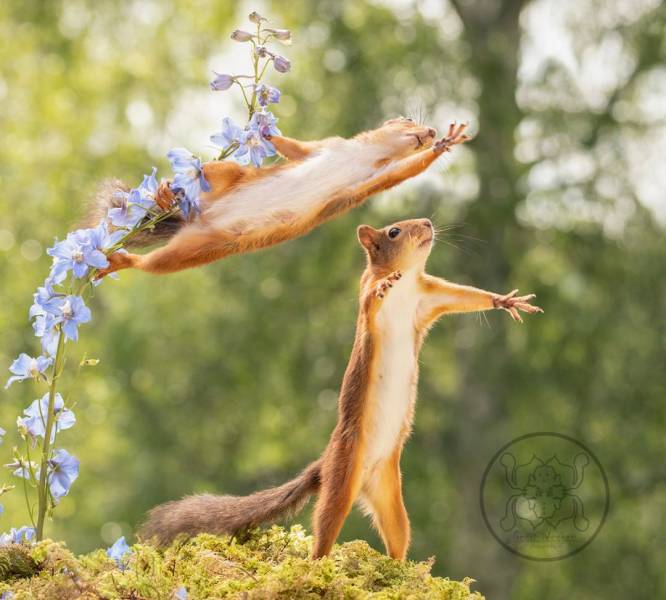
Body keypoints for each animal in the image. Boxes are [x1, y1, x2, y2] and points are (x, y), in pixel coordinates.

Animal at [92, 118, 466, 276]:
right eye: (407, 119)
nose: (430, 131)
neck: (363, 155)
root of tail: (195, 217)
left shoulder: (373, 179)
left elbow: (403, 173)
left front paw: (445, 143)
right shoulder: (326, 147)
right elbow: (295, 149)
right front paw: (265, 130)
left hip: (191, 252)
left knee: (150, 264)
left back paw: (120, 261)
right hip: (226, 177)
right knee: (208, 171)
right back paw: (166, 191)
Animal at [139, 218, 540, 560]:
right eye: (394, 231)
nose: (427, 223)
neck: (408, 281)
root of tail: (332, 464)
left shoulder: (429, 297)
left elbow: (466, 296)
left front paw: (505, 300)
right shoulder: (368, 303)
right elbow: (372, 298)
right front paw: (384, 285)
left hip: (390, 494)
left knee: (397, 536)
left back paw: (403, 570)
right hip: (340, 479)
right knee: (325, 527)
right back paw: (318, 565)